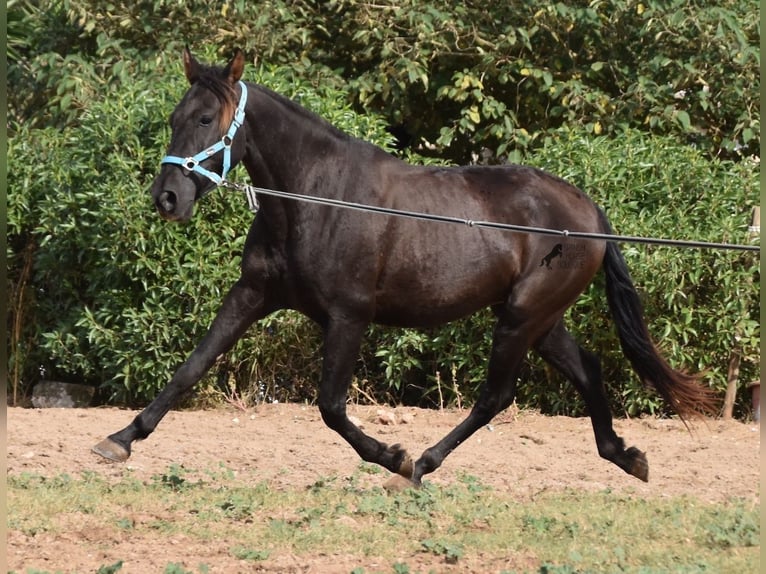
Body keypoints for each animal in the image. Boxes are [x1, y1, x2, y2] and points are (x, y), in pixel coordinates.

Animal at [93, 50, 716, 486]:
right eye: (175, 116)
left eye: (205, 118)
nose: (167, 197)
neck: (317, 197)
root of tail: (588, 212)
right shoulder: (252, 294)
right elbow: (191, 368)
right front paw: (120, 438)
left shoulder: (349, 315)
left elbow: (330, 406)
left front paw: (391, 456)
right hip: (540, 319)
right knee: (585, 370)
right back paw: (626, 456)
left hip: (522, 316)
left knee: (495, 397)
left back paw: (420, 466)